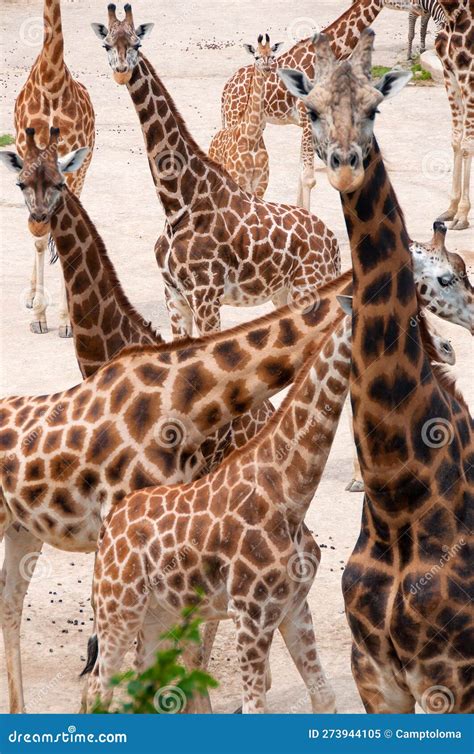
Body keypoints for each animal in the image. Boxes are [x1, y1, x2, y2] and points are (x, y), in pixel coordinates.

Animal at [208, 34, 283, 198]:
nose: (267, 68)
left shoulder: (261, 185)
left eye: (272, 56)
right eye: (256, 57)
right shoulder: (241, 181)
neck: (252, 139)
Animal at [280, 28, 473, 713]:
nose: (344, 163)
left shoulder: (450, 677)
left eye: (373, 108)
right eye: (311, 109)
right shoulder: (376, 675)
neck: (397, 504)